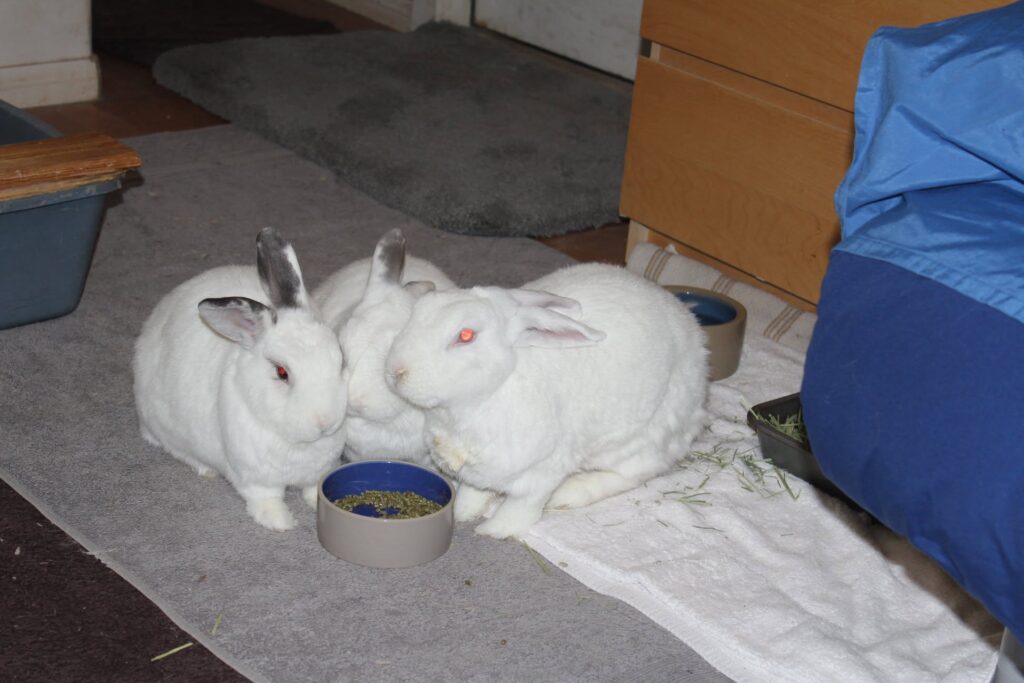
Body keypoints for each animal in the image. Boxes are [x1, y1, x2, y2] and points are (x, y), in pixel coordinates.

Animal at [133, 227, 348, 531]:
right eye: (282, 373)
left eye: (340, 360)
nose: (325, 421)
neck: (298, 442)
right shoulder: (255, 479)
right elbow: (265, 499)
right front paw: (280, 522)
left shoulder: (318, 470)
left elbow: (311, 489)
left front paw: (315, 503)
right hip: (162, 426)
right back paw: (205, 469)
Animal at [384, 262, 710, 539]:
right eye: (418, 312)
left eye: (465, 336)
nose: (394, 371)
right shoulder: (475, 471)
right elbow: (473, 492)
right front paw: (463, 512)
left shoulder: (541, 471)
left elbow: (522, 506)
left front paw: (495, 530)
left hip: (641, 441)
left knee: (633, 474)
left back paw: (568, 494)